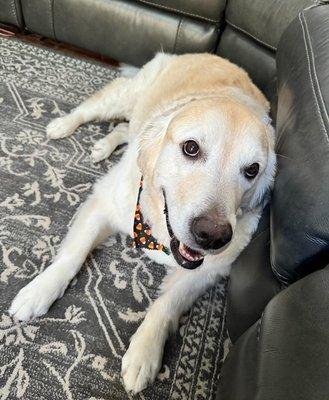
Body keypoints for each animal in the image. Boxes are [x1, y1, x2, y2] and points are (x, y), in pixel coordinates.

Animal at [9, 53, 276, 394]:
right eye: (191, 148)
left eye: (252, 170)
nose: (213, 236)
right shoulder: (104, 202)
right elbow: (72, 256)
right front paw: (39, 291)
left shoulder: (208, 270)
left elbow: (164, 306)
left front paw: (144, 353)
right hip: (127, 96)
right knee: (98, 107)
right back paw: (62, 124)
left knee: (128, 128)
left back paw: (103, 145)